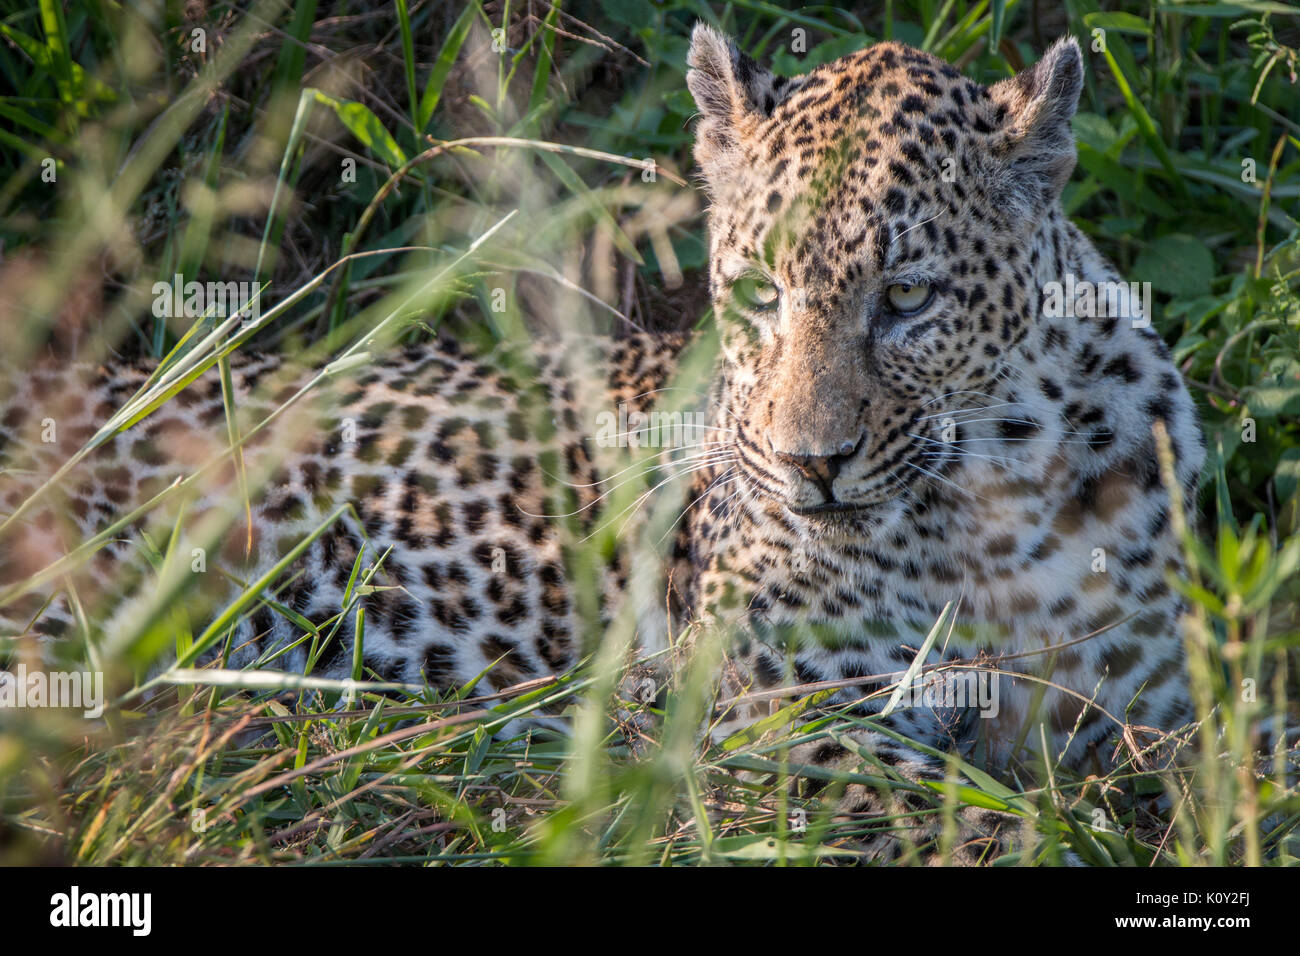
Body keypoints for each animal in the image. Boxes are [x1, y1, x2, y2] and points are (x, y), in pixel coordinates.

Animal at [0, 24, 1201, 858]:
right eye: (760, 293)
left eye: (906, 297)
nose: (811, 464)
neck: (996, 500)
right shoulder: (784, 719)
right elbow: (975, 820)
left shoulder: (1161, 708)